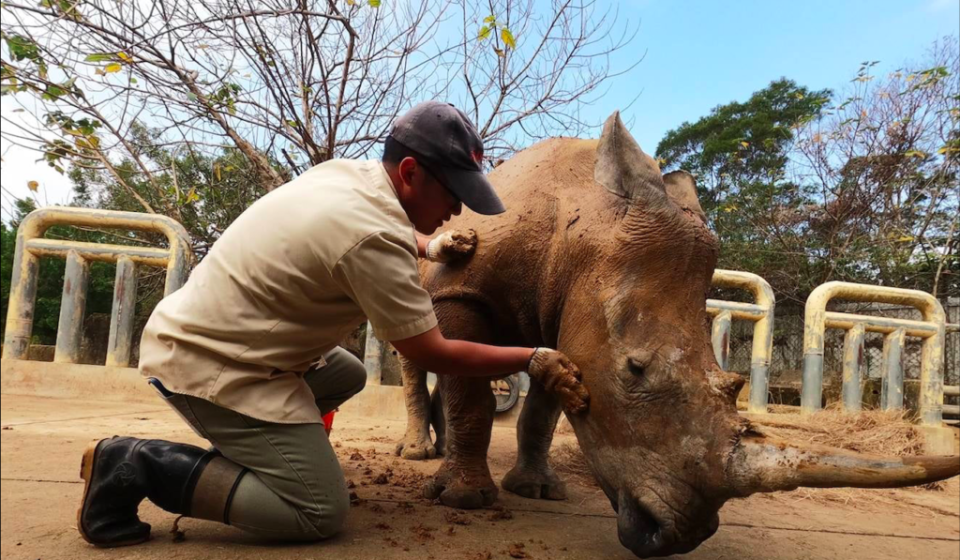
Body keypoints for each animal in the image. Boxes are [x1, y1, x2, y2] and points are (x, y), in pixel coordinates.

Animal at [392, 111, 960, 556]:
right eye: (634, 369)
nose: (678, 537)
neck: (582, 234)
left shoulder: (566, 314)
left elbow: (545, 404)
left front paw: (537, 491)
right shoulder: (462, 290)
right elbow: (473, 399)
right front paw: (467, 500)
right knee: (419, 350)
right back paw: (420, 457)